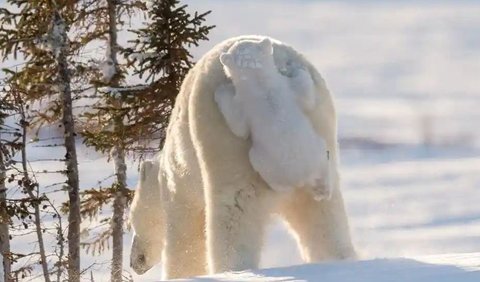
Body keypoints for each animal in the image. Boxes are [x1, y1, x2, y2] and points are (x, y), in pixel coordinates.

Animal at [216, 38, 332, 199]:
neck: (261, 83)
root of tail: (302, 177)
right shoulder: (284, 89)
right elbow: (306, 95)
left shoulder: (248, 102)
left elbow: (239, 128)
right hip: (310, 154)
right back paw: (323, 192)